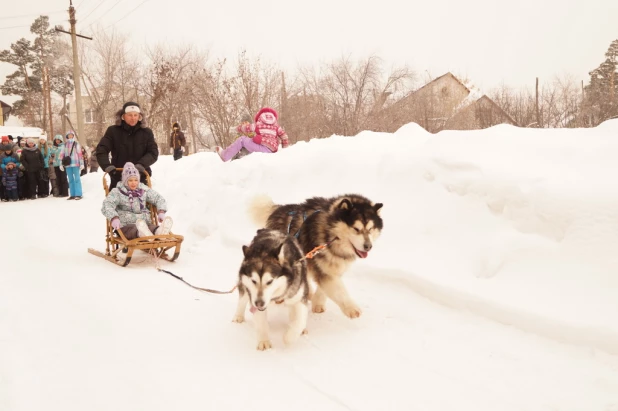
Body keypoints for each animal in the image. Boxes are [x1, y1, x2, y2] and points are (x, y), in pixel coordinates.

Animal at [248, 193, 382, 318]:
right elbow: (338, 290)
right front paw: (351, 308)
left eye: (370, 229)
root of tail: (279, 209)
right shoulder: (322, 267)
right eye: (356, 228)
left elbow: (324, 287)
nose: (368, 246)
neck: (329, 233)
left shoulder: (331, 266)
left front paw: (318, 302)